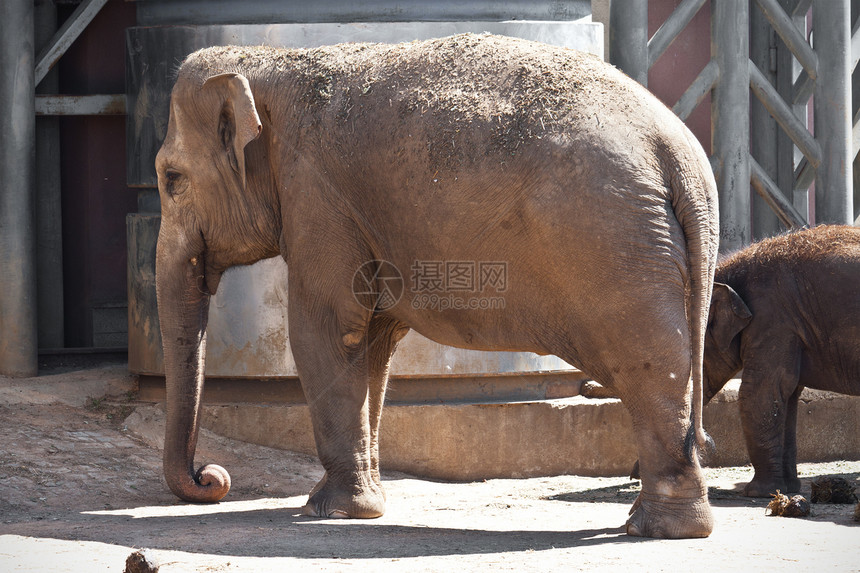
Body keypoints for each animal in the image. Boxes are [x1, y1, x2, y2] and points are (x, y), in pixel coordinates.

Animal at [153, 34, 720, 536]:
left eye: (170, 179)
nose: (212, 476)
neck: (275, 63)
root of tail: (679, 155)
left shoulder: (317, 198)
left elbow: (327, 331)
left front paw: (329, 511)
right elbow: (373, 343)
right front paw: (366, 505)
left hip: (619, 251)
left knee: (648, 368)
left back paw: (657, 528)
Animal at [704, 223, 860, 496]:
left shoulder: (773, 319)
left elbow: (760, 393)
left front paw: (759, 493)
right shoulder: (791, 329)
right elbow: (788, 395)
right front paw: (787, 489)